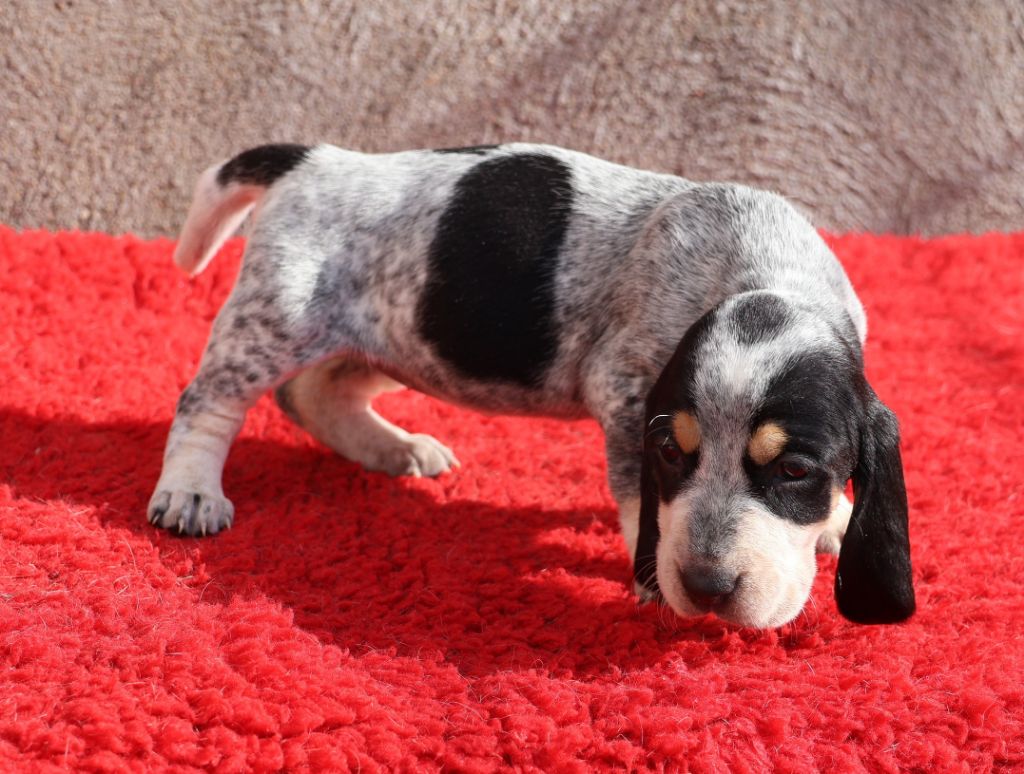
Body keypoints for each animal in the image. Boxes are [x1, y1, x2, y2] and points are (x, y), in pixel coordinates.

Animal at [148, 142, 915, 628]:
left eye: (794, 471)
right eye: (673, 454)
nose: (704, 588)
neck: (766, 277)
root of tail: (317, 159)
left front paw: (836, 519)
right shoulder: (626, 394)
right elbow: (641, 501)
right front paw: (650, 580)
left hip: (398, 332)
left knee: (317, 395)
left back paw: (395, 450)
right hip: (276, 318)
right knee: (208, 403)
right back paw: (191, 491)